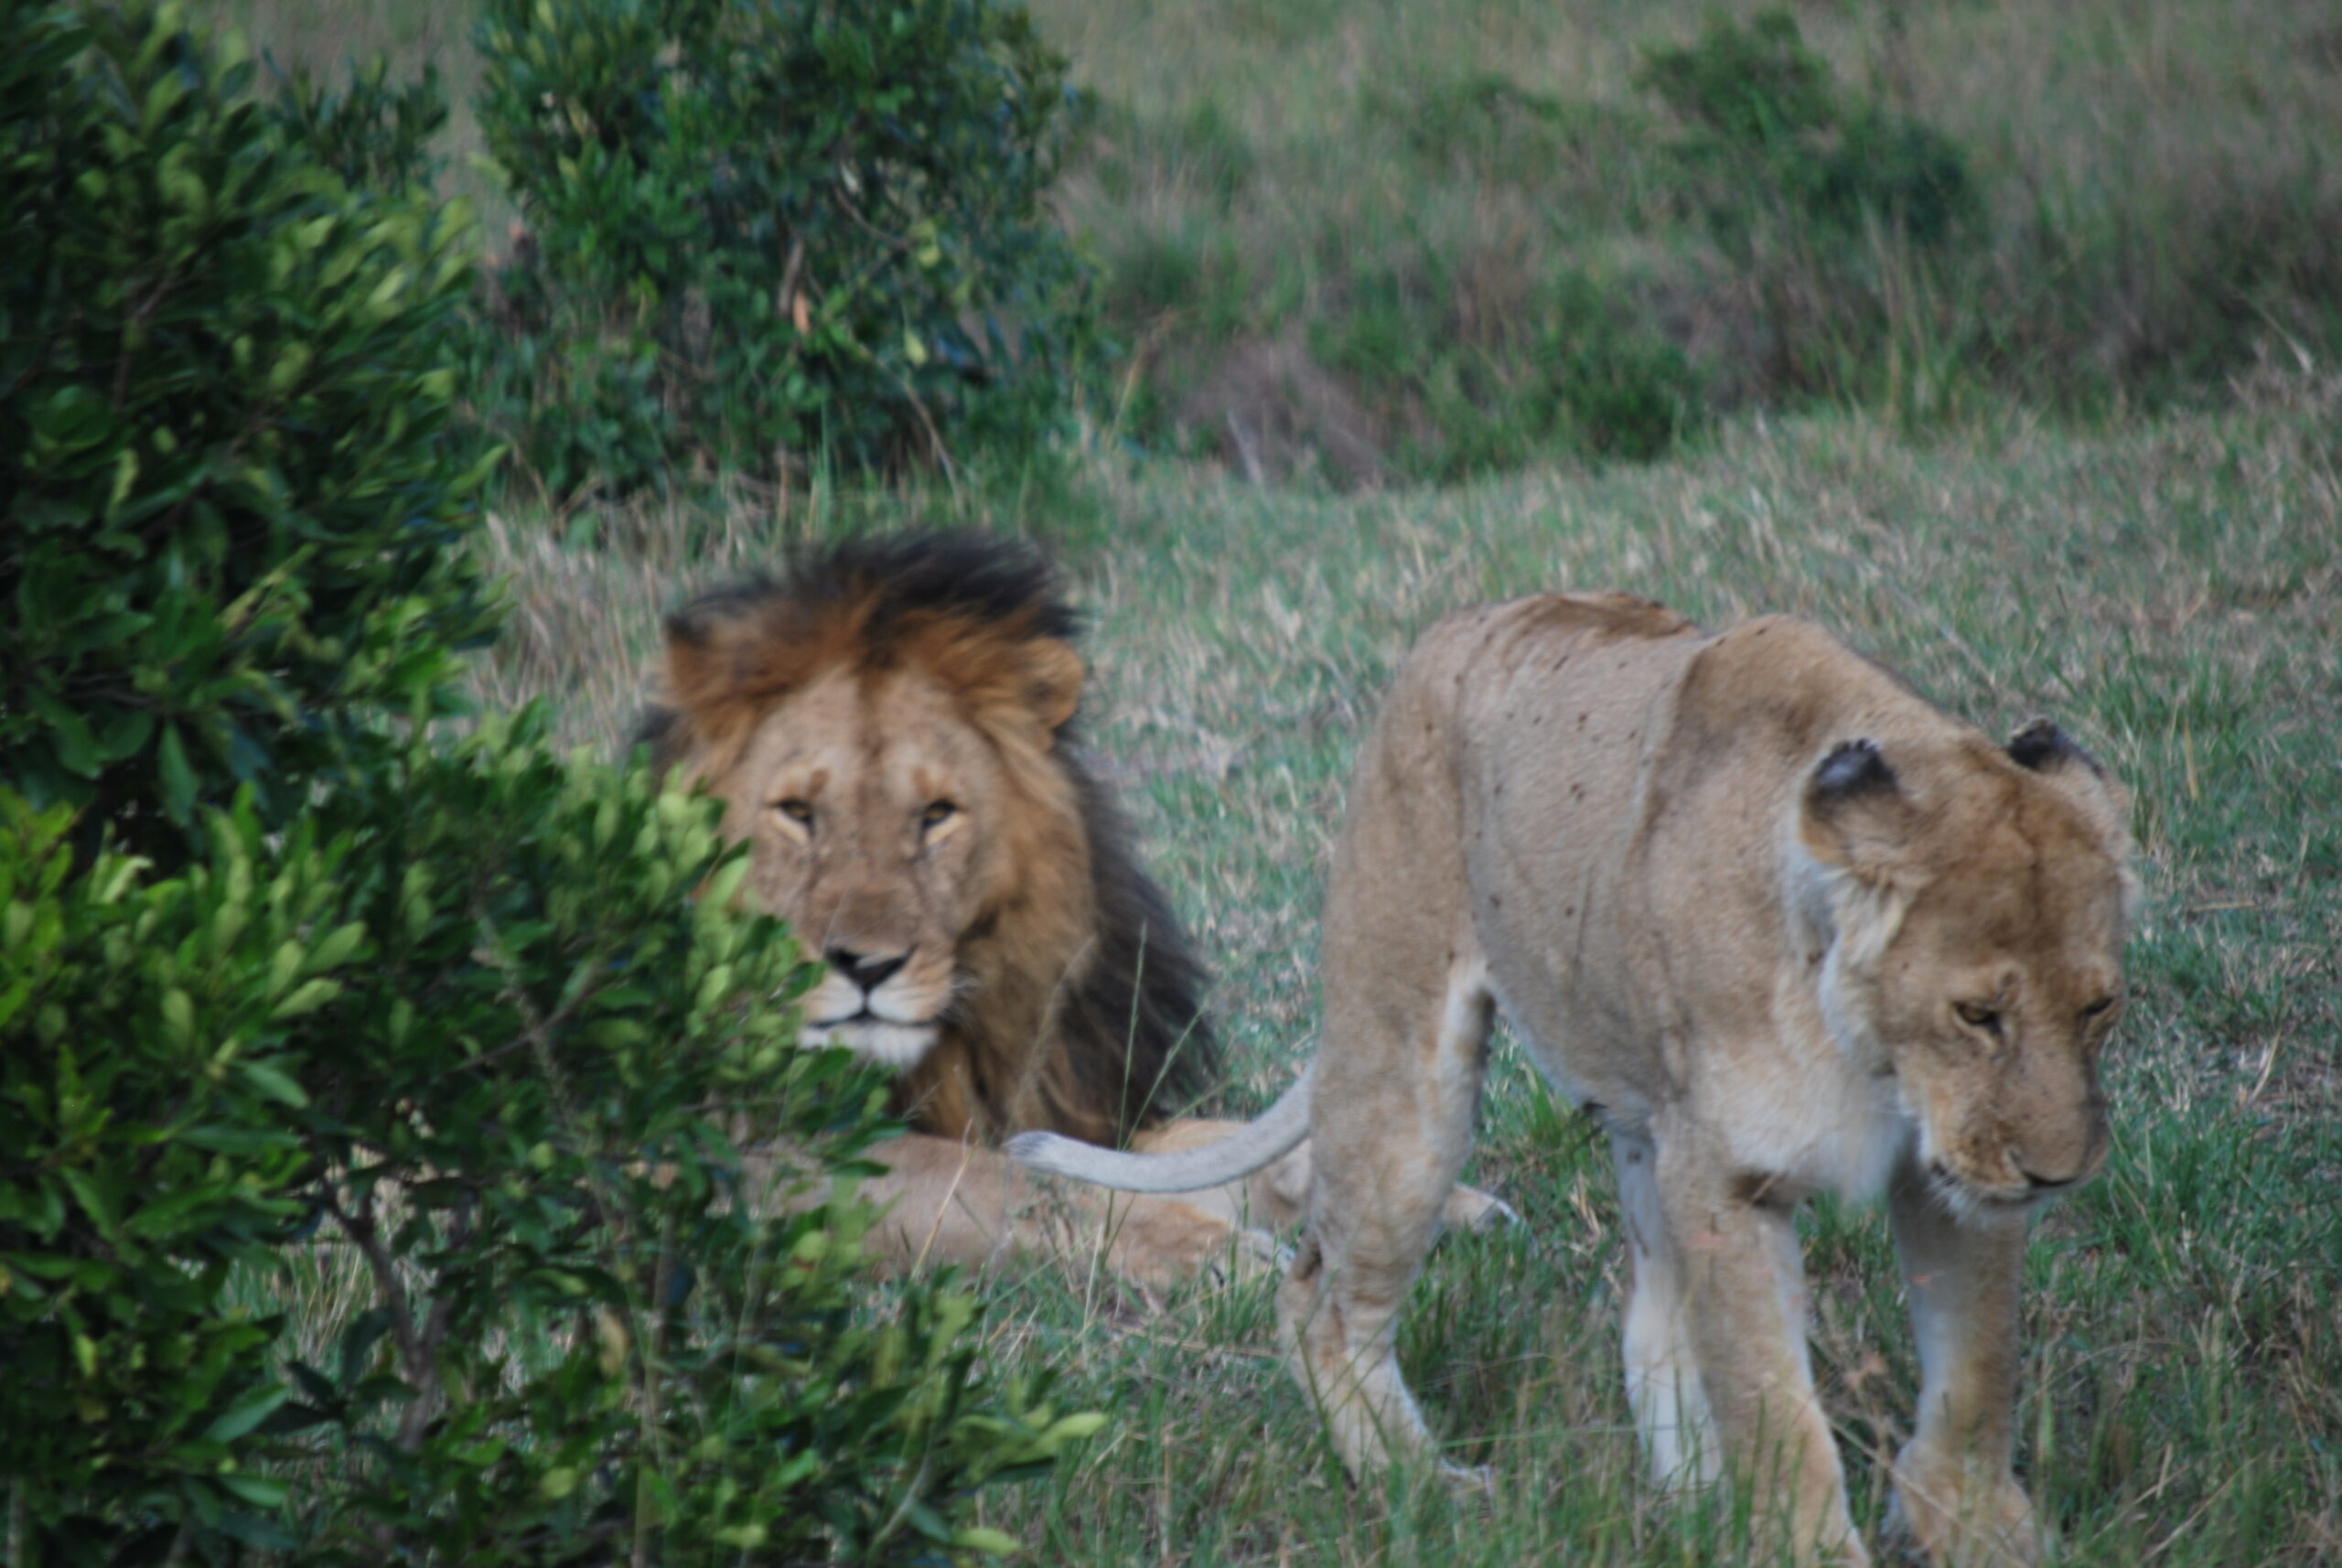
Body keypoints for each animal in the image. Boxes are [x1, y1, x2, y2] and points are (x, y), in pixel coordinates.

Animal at [650, 538, 1499, 1292]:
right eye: (797, 813)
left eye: (936, 815)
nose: (866, 966)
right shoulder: (743, 1161)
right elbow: (1001, 1181)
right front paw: (1214, 1252)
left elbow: (1212, 1144)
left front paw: (1429, 1201)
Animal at [1006, 596, 2144, 1563]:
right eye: (1976, 1014)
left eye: (2098, 1007)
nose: (2058, 1176)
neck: (1873, 1056)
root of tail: (1455, 625)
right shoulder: (1726, 1180)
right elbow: (1775, 1412)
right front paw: (1805, 1546)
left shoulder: (1946, 1183)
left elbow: (1974, 1375)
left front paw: (1982, 1533)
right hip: (1407, 1070)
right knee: (1319, 1298)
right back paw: (1430, 1491)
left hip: (1639, 1128)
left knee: (1645, 1323)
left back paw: (1689, 1512)